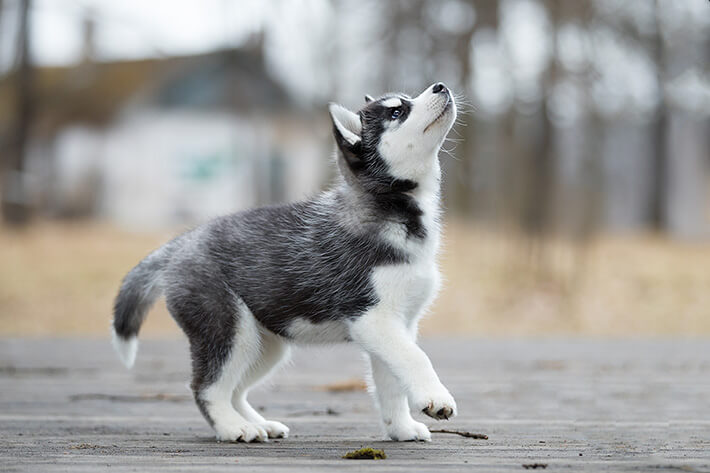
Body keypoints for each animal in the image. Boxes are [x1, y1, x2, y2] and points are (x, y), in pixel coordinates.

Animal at [111, 82, 456, 442]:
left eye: (407, 100)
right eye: (397, 112)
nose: (441, 86)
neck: (393, 209)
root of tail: (181, 243)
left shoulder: (398, 324)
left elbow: (392, 383)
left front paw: (401, 428)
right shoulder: (371, 317)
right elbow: (416, 358)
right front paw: (436, 399)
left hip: (264, 345)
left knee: (235, 389)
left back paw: (259, 423)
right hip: (229, 331)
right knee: (207, 387)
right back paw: (235, 428)